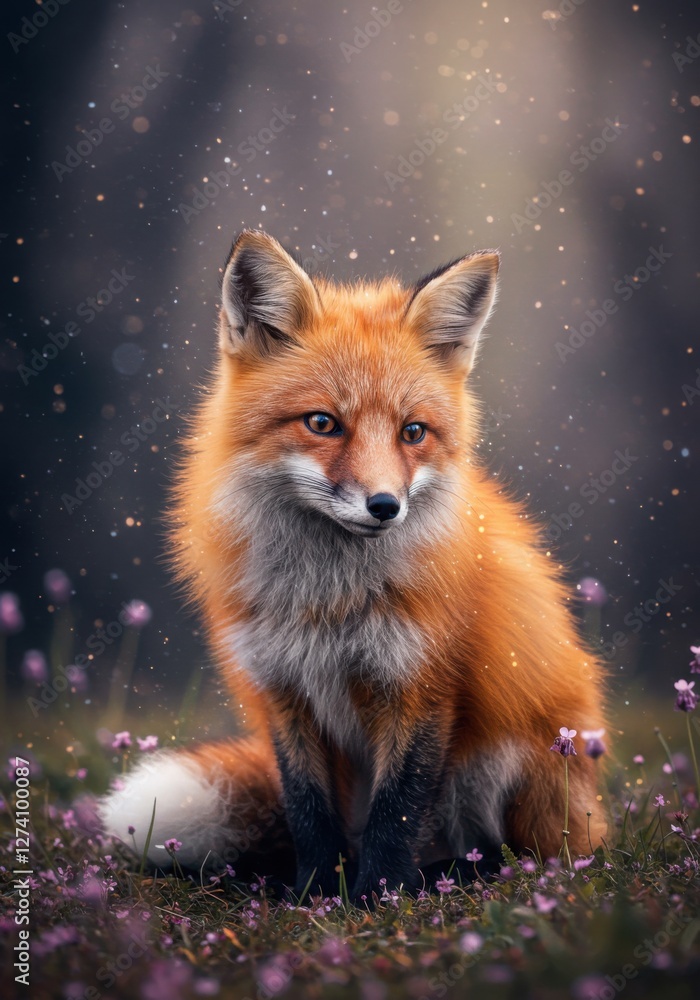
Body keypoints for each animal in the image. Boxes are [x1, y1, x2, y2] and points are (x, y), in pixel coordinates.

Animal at [99, 230, 607, 899]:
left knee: (527, 852)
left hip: (514, 754)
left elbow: (398, 809)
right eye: (322, 423)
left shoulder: (421, 686)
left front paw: (380, 896)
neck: (329, 600)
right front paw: (315, 893)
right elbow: (308, 809)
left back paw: (452, 874)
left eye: (413, 432)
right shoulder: (283, 690)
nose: (385, 506)